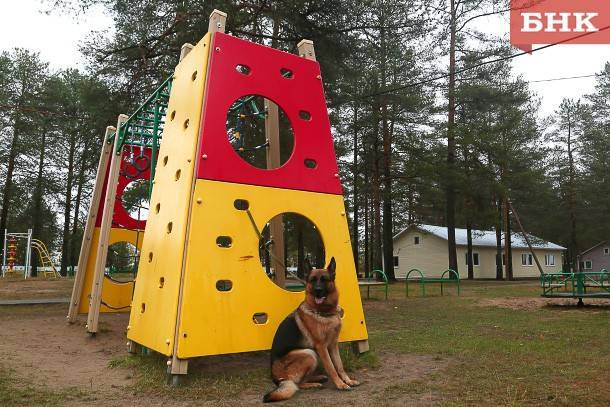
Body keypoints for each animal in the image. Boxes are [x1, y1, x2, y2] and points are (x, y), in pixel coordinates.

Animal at [260, 260, 356, 404]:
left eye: (324, 279)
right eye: (313, 280)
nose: (317, 290)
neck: (324, 312)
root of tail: (276, 378)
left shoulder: (333, 345)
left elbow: (339, 365)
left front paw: (347, 380)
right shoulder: (321, 347)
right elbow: (331, 367)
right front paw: (340, 384)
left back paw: (318, 378)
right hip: (309, 353)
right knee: (297, 384)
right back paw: (314, 384)